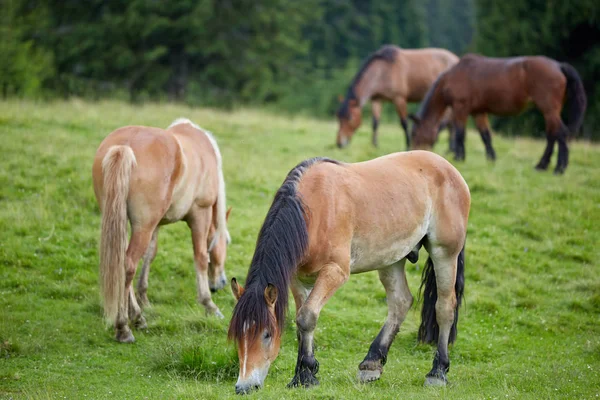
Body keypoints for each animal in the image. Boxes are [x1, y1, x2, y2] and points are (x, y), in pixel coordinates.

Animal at [92, 117, 231, 342]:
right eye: (226, 242)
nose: (220, 284)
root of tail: (125, 146)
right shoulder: (200, 214)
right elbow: (201, 257)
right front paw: (209, 304)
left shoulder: (155, 225)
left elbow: (149, 255)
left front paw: (143, 298)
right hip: (142, 227)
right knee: (128, 264)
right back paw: (123, 327)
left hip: (125, 222)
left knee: (124, 262)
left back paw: (137, 317)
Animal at [227, 152, 472, 394]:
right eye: (238, 335)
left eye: (267, 334)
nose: (243, 387)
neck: (312, 212)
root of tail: (449, 169)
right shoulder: (297, 278)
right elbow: (301, 323)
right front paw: (303, 375)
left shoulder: (335, 271)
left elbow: (306, 317)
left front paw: (305, 375)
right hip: (391, 259)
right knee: (401, 302)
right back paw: (371, 364)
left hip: (445, 253)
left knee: (444, 307)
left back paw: (437, 372)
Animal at [408, 53, 584, 173]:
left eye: (415, 134)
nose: (413, 150)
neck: (453, 76)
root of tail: (559, 66)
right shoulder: (478, 112)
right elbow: (485, 135)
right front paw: (491, 158)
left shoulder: (460, 108)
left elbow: (460, 134)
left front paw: (459, 157)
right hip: (551, 111)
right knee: (552, 135)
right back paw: (543, 165)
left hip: (549, 109)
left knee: (560, 133)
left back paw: (558, 168)